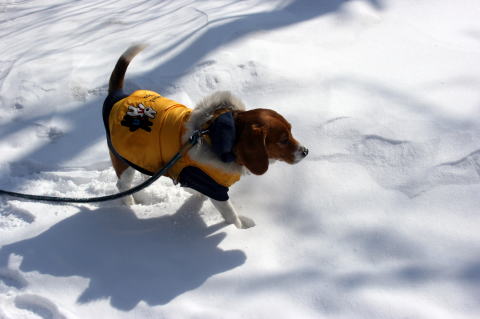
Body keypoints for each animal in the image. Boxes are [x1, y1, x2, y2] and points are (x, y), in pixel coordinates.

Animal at [103, 45, 310, 230]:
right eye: (283, 140)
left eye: (291, 131)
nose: (306, 151)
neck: (219, 135)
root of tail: (117, 96)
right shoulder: (214, 188)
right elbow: (231, 215)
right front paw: (240, 229)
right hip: (124, 163)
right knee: (122, 184)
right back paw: (129, 204)